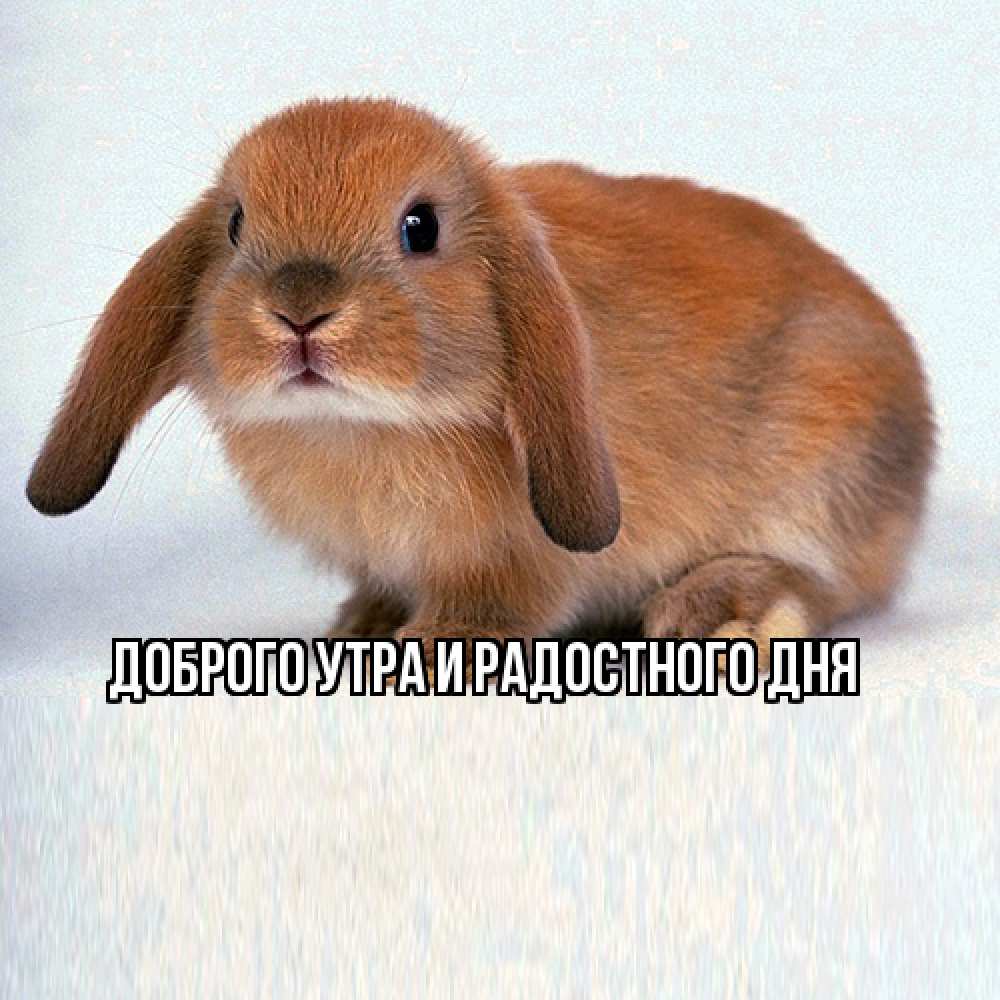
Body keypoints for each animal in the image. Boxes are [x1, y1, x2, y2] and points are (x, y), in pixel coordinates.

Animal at [27, 97, 934, 666]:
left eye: (419, 227)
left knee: (823, 583)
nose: (300, 313)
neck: (359, 428)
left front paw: (434, 644)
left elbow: (504, 603)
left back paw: (718, 614)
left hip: (822, 471)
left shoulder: (519, 557)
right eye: (237, 224)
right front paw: (362, 626)